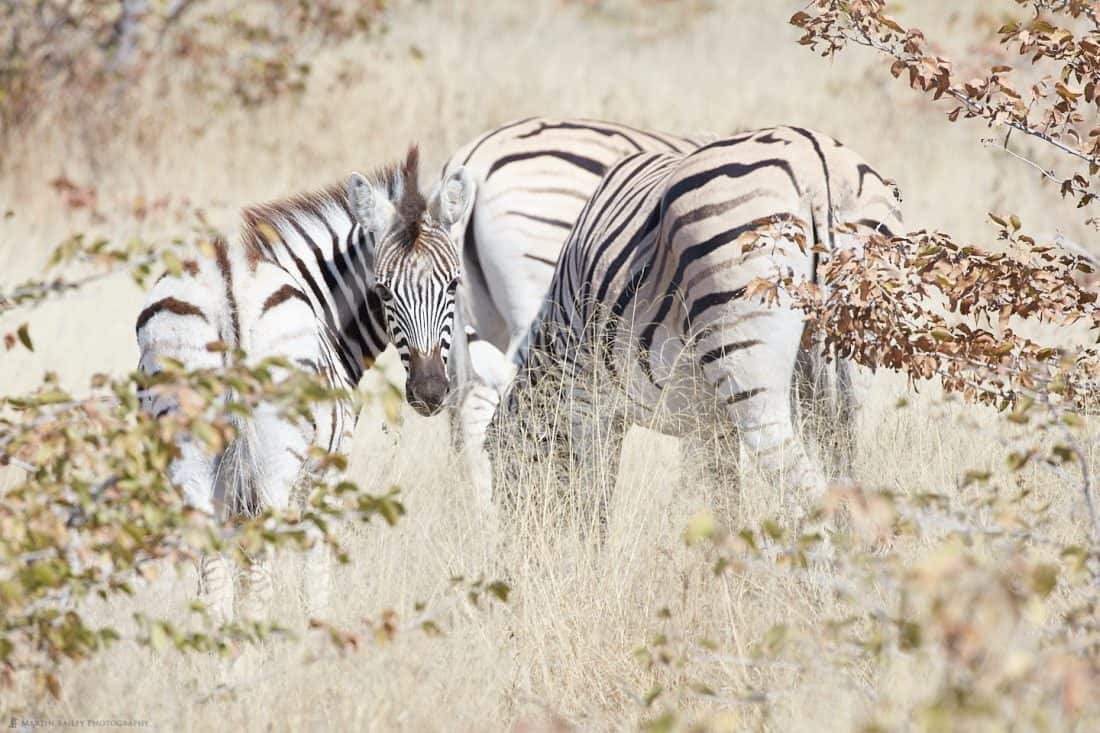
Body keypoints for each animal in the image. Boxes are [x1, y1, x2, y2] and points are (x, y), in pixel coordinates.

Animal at [136, 148, 473, 620]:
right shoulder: (327, 470)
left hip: (188, 446)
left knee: (214, 566)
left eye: (453, 284)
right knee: (260, 570)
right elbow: (316, 570)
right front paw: (317, 628)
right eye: (383, 290)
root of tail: (228, 280)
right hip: (276, 453)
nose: (428, 392)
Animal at [481, 125, 902, 512]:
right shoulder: (709, 424)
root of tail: (816, 167)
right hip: (854, 355)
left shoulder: (586, 399)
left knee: (798, 475)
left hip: (745, 342)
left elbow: (595, 501)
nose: (512, 539)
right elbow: (719, 497)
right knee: (843, 477)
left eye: (504, 466)